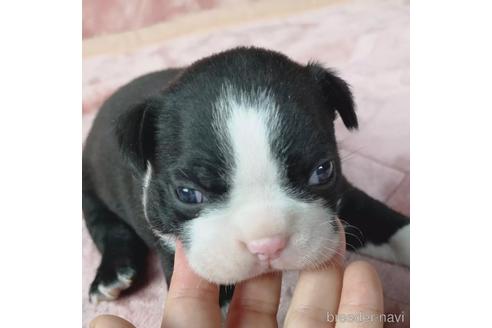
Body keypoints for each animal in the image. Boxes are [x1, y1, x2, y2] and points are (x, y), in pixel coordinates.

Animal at [82, 46, 410, 304]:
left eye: (322, 171)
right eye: (187, 194)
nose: (267, 244)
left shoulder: (345, 195)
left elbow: (384, 221)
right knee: (107, 227)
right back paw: (112, 274)